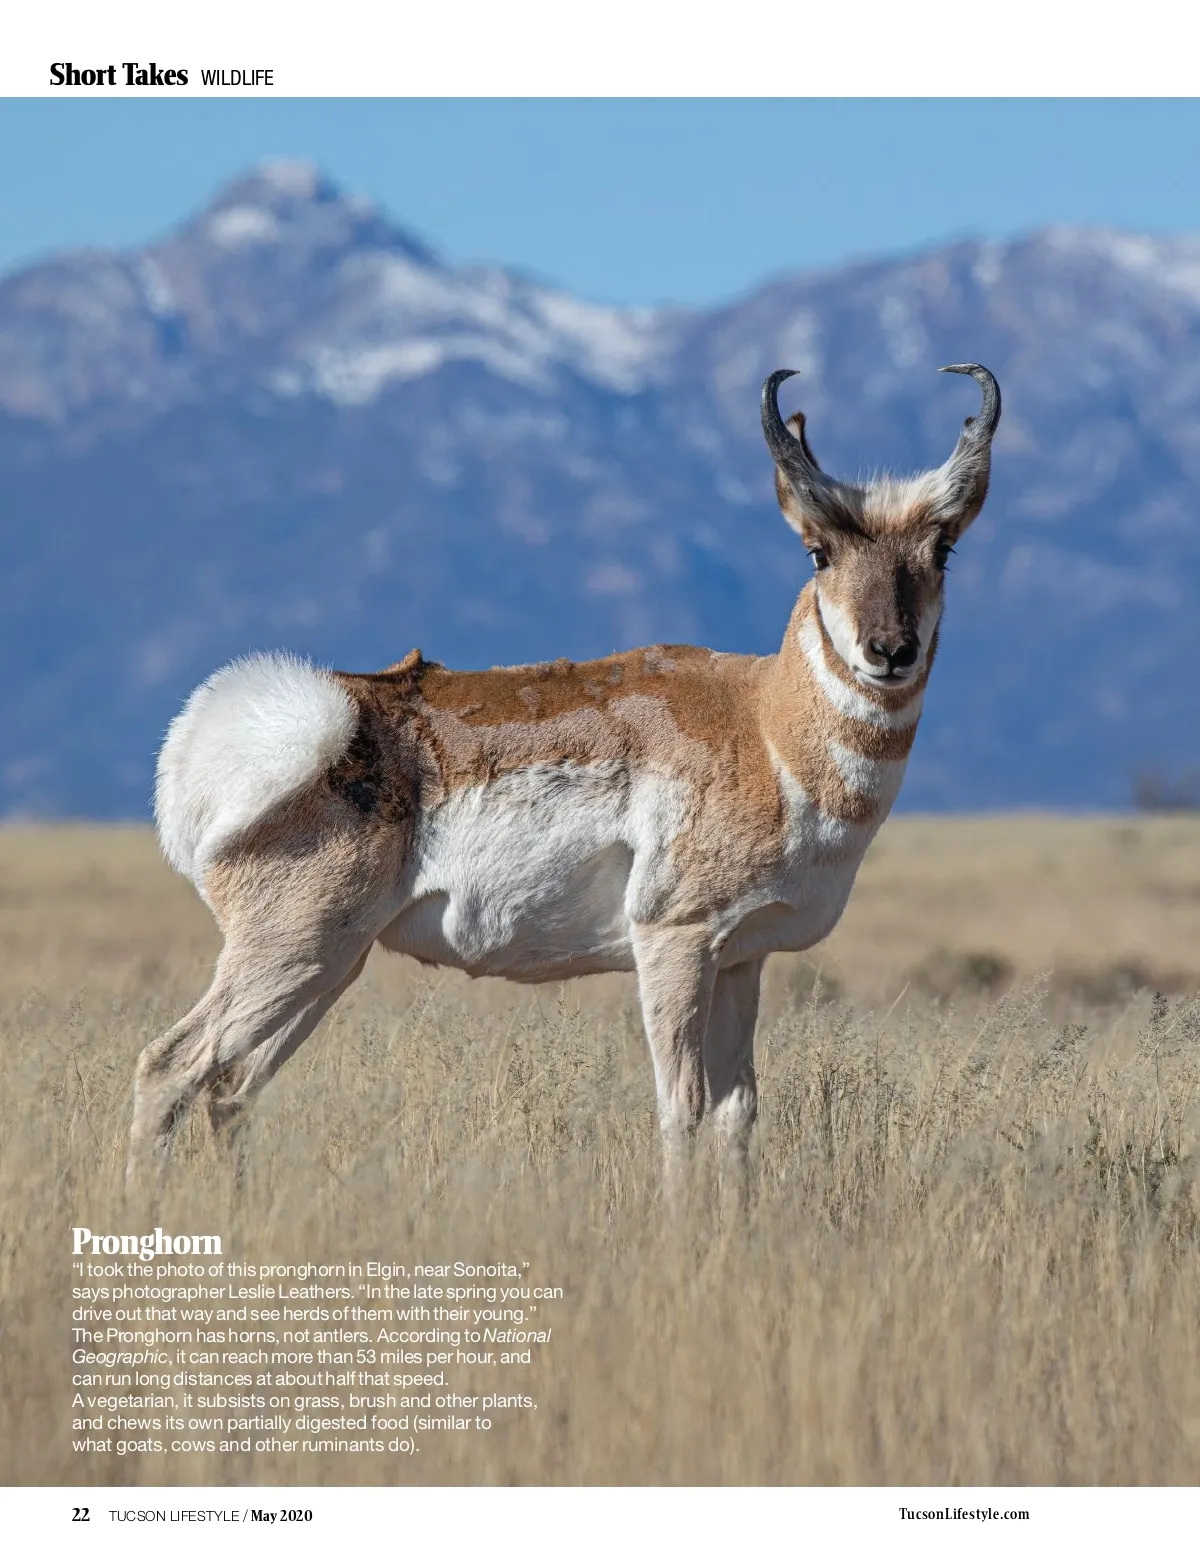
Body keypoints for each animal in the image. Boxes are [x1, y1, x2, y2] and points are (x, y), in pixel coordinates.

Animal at [128, 364, 1000, 1201]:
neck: (761, 723)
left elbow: (737, 1111)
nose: (890, 651)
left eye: (943, 551)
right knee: (170, 1066)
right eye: (819, 552)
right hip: (293, 951)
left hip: (332, 963)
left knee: (230, 1087)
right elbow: (681, 1107)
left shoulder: (741, 961)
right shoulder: (675, 942)